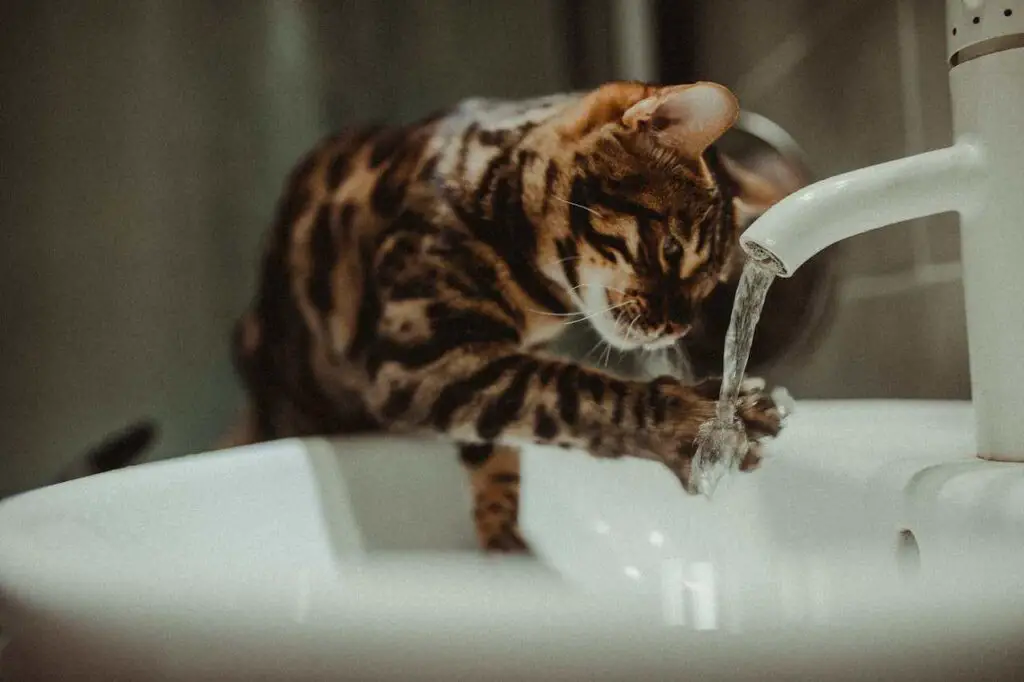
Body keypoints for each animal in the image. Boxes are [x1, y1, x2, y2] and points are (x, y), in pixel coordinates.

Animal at [230, 80, 782, 548]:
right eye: (671, 249)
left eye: (713, 281)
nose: (678, 326)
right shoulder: (421, 357)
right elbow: (570, 392)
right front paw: (700, 422)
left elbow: (497, 441)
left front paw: (501, 537)